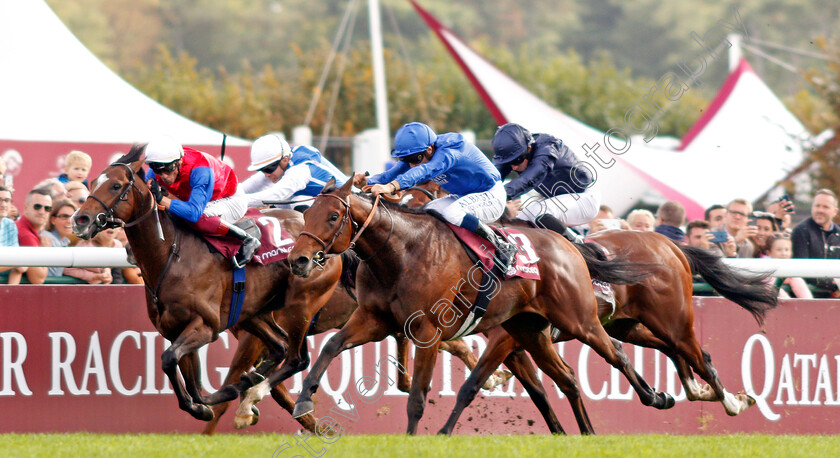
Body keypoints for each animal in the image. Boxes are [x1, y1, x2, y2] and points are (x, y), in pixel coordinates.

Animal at [73, 147, 344, 422]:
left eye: (116, 185)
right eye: (93, 183)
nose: (80, 219)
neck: (172, 255)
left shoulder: (206, 326)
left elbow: (170, 360)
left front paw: (206, 403)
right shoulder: (175, 329)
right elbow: (184, 374)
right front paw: (203, 404)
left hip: (301, 304)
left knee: (297, 358)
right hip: (253, 312)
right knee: (279, 345)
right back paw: (247, 383)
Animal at [286, 177, 672, 434]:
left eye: (333, 217)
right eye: (307, 214)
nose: (299, 260)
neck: (401, 251)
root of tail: (567, 244)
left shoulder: (428, 330)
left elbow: (420, 395)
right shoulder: (373, 318)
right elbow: (332, 346)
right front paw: (305, 399)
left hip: (578, 319)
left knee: (616, 353)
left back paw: (657, 398)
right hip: (529, 329)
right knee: (567, 378)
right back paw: (587, 433)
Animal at [436, 231, 776, 434]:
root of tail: (670, 244)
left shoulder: (506, 340)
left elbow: (472, 385)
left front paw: (445, 431)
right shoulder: (519, 343)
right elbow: (538, 391)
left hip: (670, 320)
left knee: (699, 356)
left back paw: (731, 403)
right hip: (628, 325)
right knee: (675, 351)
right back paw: (694, 393)